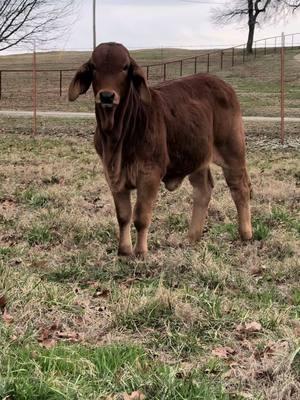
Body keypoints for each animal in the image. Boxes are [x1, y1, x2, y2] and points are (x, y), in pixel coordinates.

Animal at [68, 42, 253, 256]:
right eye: (94, 67)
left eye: (124, 67)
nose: (107, 96)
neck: (116, 137)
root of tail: (223, 85)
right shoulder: (112, 175)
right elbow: (123, 216)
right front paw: (124, 250)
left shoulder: (150, 173)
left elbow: (141, 217)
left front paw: (140, 252)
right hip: (196, 157)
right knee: (203, 190)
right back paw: (192, 237)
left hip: (233, 151)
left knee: (239, 188)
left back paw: (246, 234)